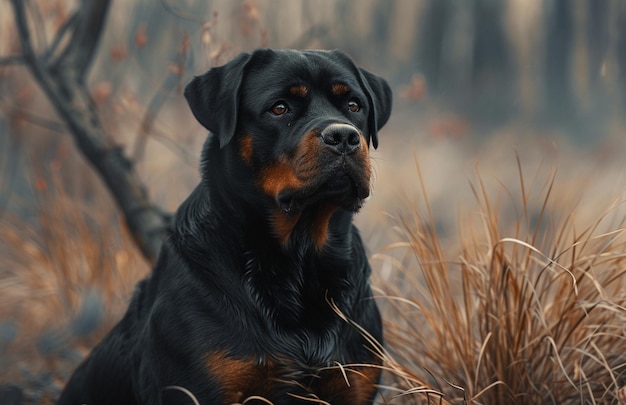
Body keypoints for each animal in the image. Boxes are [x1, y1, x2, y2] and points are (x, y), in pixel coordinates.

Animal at [57, 49, 390, 402]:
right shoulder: (199, 387)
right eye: (279, 108)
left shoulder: (353, 381)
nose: (343, 136)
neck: (301, 259)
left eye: (354, 105)